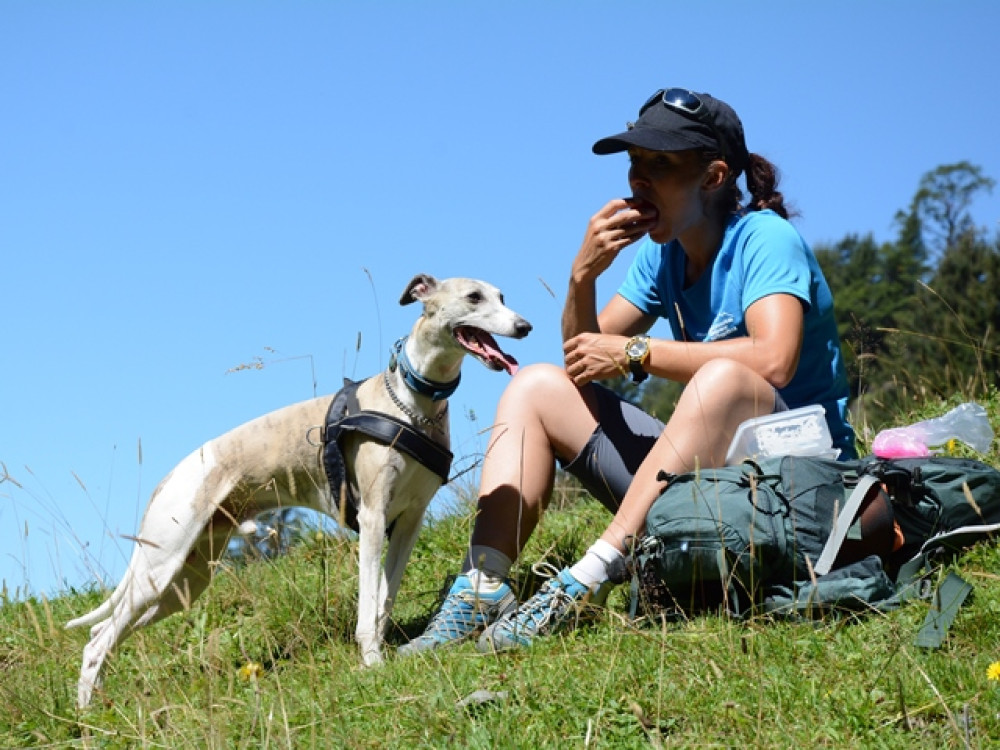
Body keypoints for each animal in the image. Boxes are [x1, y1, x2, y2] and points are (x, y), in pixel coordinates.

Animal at [64, 274, 532, 712]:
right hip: (161, 565)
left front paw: (383, 651)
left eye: (502, 297)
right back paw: (88, 715)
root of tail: (171, 475)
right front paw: (371, 662)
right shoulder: (372, 518)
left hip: (184, 581)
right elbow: (368, 605)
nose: (525, 326)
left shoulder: (408, 522)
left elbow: (384, 598)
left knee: (105, 631)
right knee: (98, 639)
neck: (411, 404)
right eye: (474, 297)